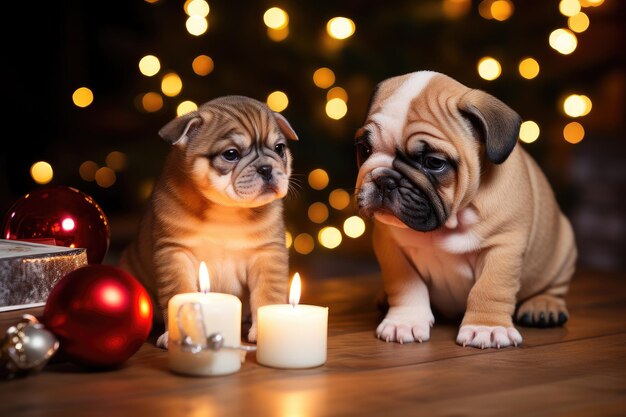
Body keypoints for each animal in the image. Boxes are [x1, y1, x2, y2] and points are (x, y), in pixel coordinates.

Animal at [122, 96, 298, 346]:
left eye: (279, 148)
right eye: (231, 154)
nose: (266, 168)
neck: (226, 208)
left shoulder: (267, 253)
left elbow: (267, 294)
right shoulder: (175, 253)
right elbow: (179, 291)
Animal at [356, 71, 576, 348]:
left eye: (434, 162)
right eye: (364, 149)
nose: (385, 180)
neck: (450, 221)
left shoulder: (503, 247)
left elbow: (490, 288)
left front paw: (487, 328)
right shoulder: (392, 247)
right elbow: (406, 286)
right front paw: (404, 322)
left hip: (562, 249)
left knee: (554, 286)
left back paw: (543, 306)